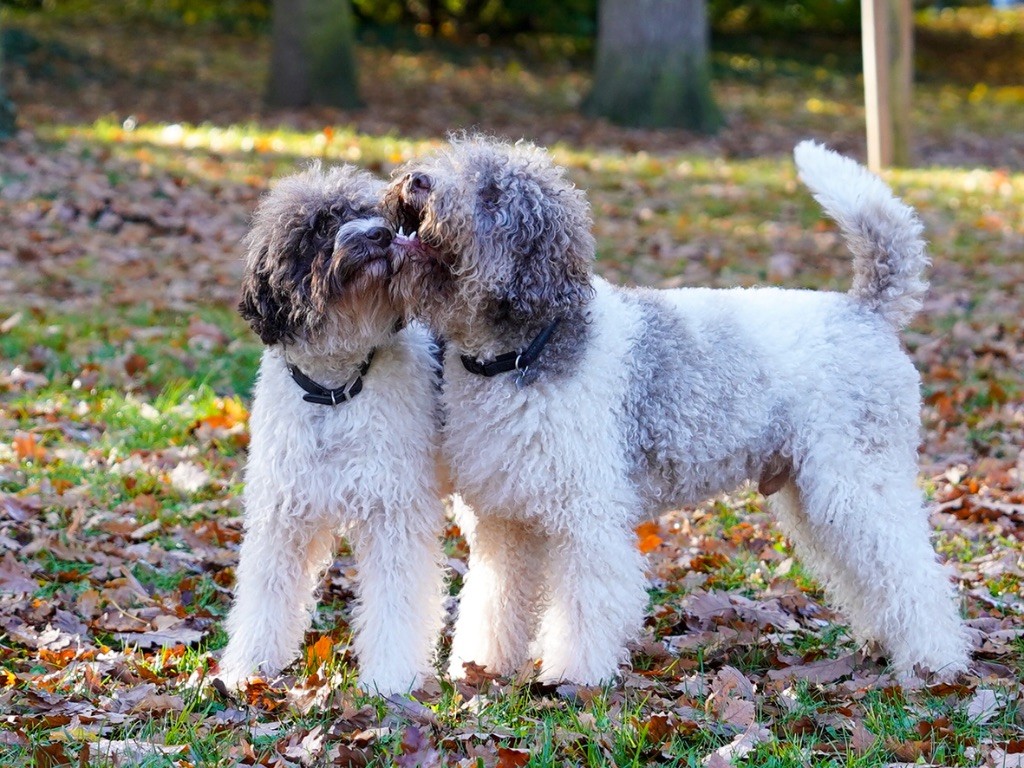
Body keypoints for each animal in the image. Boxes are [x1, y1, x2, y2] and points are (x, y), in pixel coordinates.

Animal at [220, 163, 448, 696]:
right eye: (322, 226)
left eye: (375, 214)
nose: (380, 235)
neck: (335, 389)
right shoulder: (281, 513)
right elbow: (265, 595)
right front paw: (248, 669)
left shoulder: (394, 513)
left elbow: (396, 603)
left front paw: (391, 681)